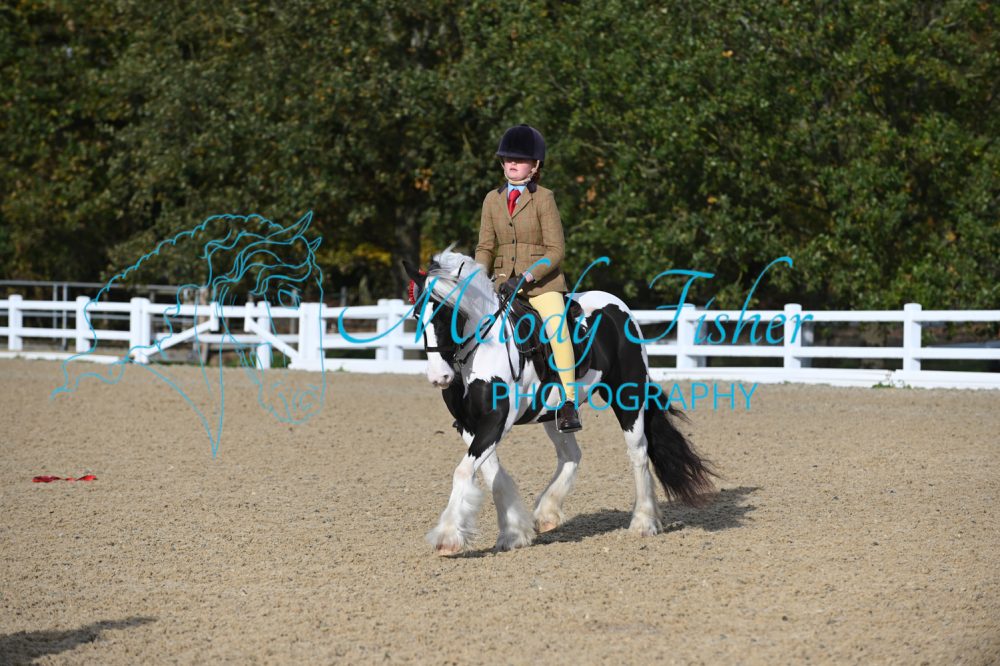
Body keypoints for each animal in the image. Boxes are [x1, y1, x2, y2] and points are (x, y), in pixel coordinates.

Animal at [403, 250, 715, 554]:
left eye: (448, 313)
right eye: (417, 315)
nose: (439, 376)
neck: (480, 350)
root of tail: (618, 307)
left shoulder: (496, 421)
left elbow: (463, 471)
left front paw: (448, 537)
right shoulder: (469, 425)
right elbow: (492, 474)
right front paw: (514, 532)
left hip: (627, 397)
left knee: (638, 452)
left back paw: (643, 522)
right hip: (556, 414)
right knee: (571, 455)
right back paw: (547, 513)